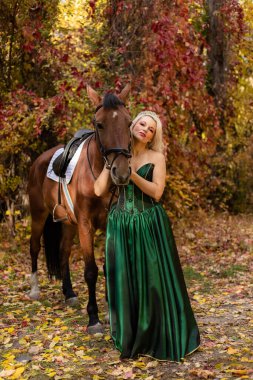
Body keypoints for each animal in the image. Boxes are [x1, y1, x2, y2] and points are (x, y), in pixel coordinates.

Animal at [27, 84, 131, 332]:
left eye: (129, 122)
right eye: (100, 124)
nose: (121, 172)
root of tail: (38, 161)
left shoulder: (106, 223)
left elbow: (107, 267)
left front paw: (111, 310)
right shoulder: (85, 225)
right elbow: (91, 271)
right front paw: (93, 318)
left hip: (67, 223)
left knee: (63, 252)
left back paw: (69, 293)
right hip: (38, 216)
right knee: (34, 247)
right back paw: (34, 289)